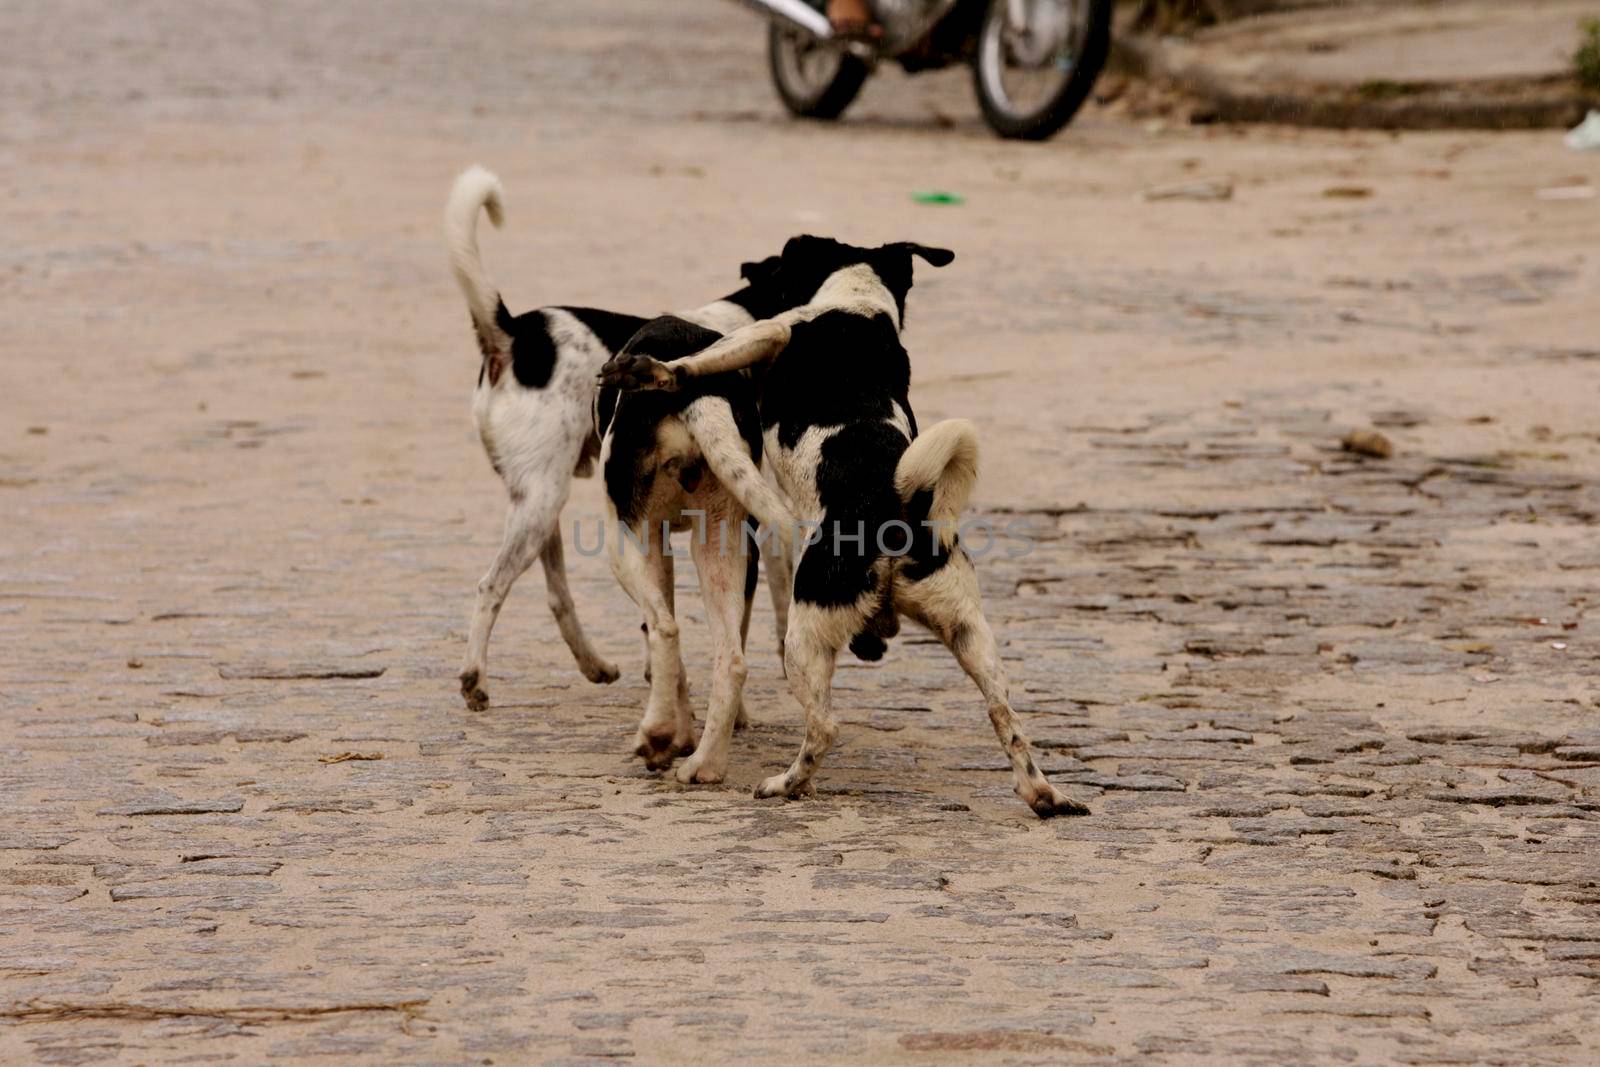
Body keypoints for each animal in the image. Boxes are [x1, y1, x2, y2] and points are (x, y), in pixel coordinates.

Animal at [448, 167, 784, 713]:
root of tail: (514, 333)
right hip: (546, 500)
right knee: (491, 584)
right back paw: (475, 677)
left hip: (539, 502)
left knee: (557, 595)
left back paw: (596, 665)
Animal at [595, 316, 793, 783]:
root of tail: (703, 399)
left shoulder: (650, 538)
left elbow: (662, 640)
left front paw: (672, 735)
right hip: (720, 544)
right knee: (732, 660)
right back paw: (705, 764)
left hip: (622, 541)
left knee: (666, 628)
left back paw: (656, 733)